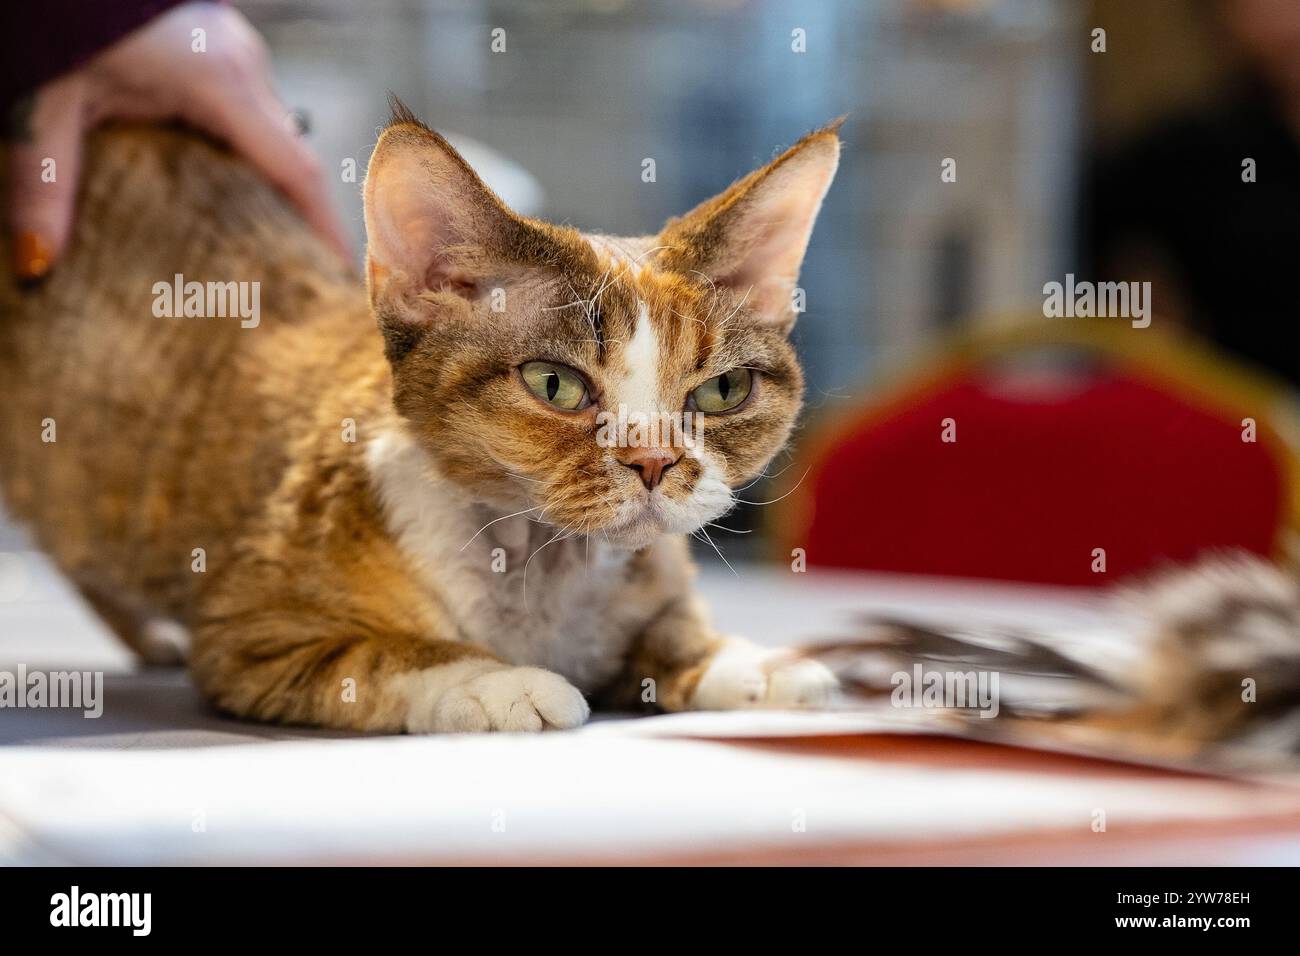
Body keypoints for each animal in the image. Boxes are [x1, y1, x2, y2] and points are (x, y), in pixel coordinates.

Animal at [0, 104, 842, 733]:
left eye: (724, 390)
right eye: (556, 385)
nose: (654, 461)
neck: (544, 569)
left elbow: (676, 633)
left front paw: (753, 661)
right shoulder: (253, 633)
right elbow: (385, 654)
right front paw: (498, 682)